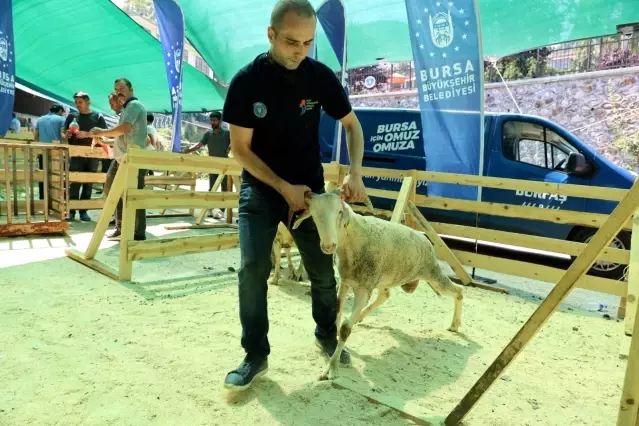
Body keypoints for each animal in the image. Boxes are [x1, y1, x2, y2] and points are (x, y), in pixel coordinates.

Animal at [292, 188, 464, 382]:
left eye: (340, 212)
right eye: (314, 215)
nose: (329, 246)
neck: (353, 241)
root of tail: (425, 239)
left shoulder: (363, 289)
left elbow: (345, 329)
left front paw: (332, 368)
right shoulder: (346, 282)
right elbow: (337, 312)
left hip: (431, 273)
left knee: (459, 291)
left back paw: (455, 324)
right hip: (385, 277)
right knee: (385, 294)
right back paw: (360, 317)